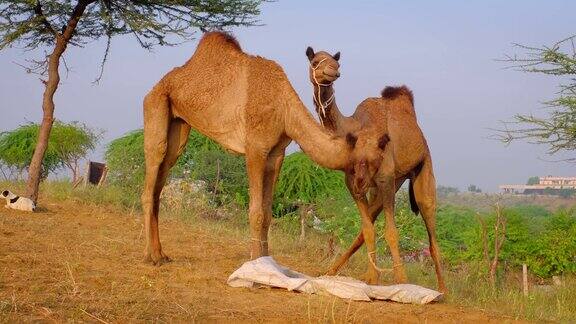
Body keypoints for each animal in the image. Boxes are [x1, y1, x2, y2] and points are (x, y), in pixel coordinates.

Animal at [306, 46, 446, 292]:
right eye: (315, 62)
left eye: (337, 63)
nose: (332, 72)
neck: (356, 128)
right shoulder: (354, 182)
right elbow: (368, 228)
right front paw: (372, 278)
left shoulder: (384, 178)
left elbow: (391, 231)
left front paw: (401, 280)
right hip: (391, 181)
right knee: (369, 224)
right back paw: (334, 271)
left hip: (421, 171)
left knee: (431, 230)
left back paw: (442, 290)